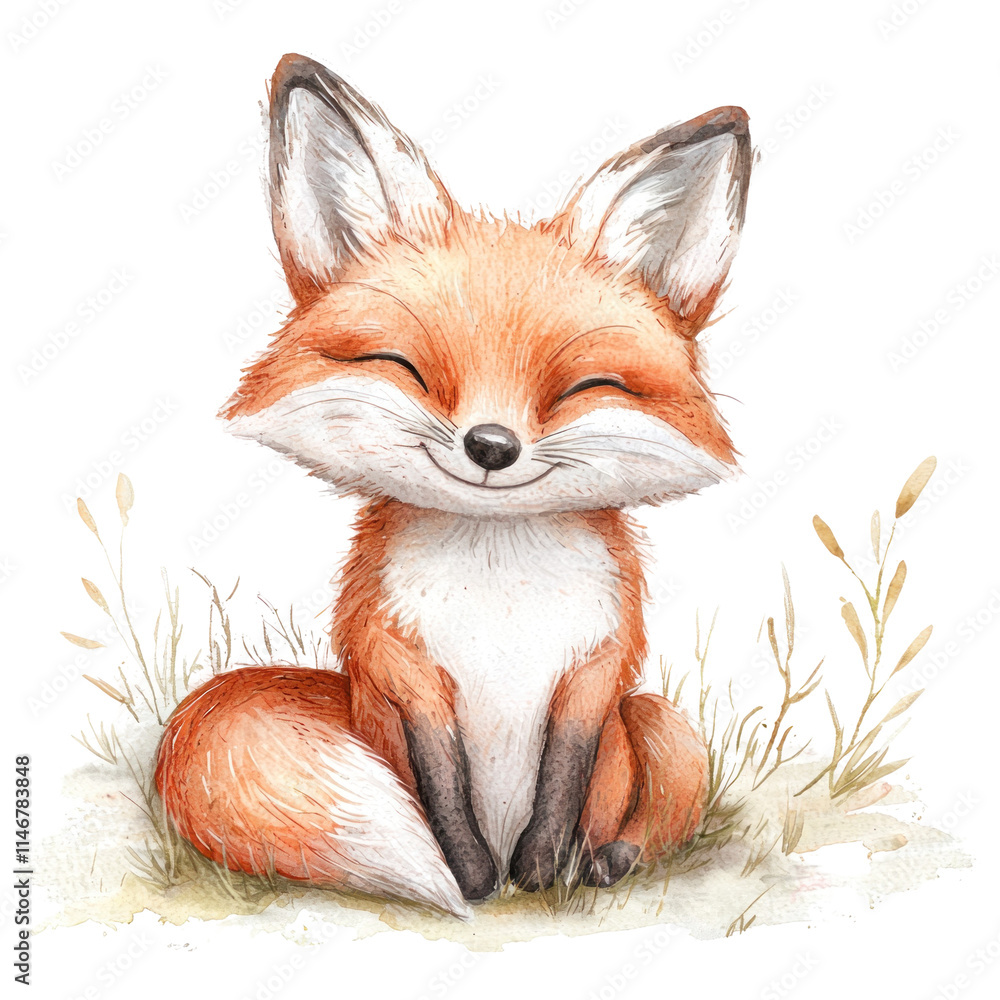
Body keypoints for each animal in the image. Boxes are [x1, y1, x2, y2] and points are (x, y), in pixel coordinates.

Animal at [154, 53, 752, 919]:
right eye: (404, 367)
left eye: (584, 386)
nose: (491, 445)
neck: (499, 584)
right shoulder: (397, 662)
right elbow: (441, 784)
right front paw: (470, 876)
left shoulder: (597, 667)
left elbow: (565, 775)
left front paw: (542, 868)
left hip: (663, 723)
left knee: (659, 815)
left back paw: (604, 860)